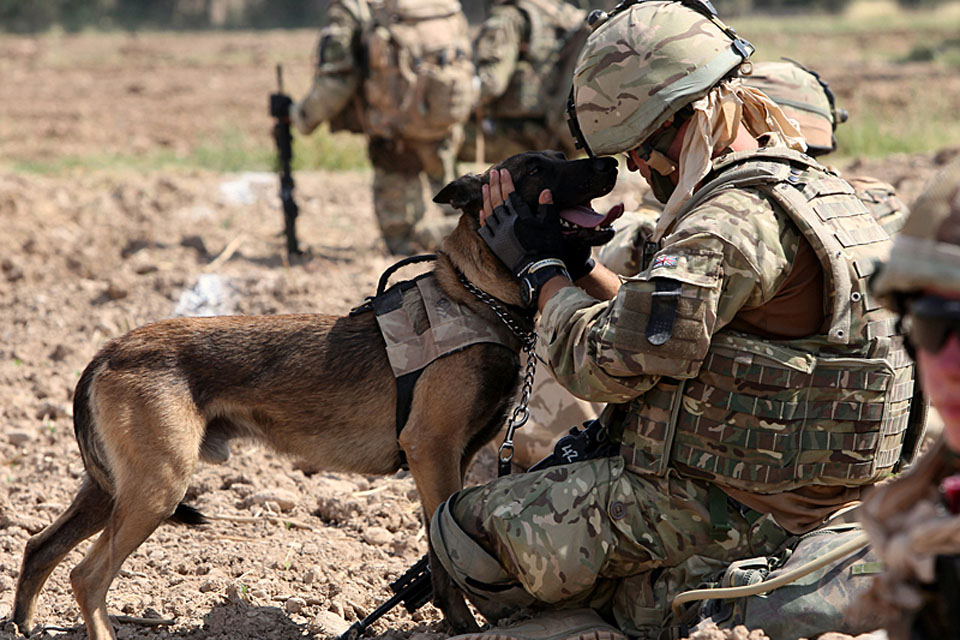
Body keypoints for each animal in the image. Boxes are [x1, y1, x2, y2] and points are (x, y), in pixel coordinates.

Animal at [9, 150, 616, 640]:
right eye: (535, 168)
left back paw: (22, 625)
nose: (610, 163)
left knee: (40, 546)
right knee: (86, 576)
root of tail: (107, 351)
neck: (477, 295)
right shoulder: (432, 451)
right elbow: (443, 559)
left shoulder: (454, 461)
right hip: (157, 487)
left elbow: (438, 549)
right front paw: (463, 626)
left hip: (113, 487)